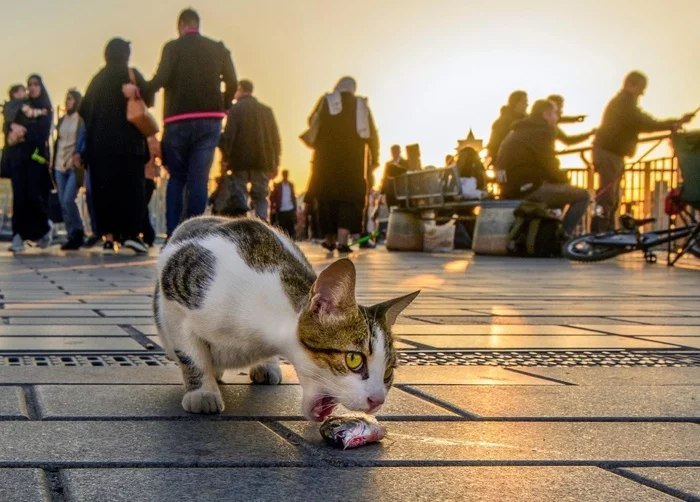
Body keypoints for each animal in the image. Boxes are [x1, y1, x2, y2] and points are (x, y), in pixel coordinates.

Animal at [153, 216, 418, 420]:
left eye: (388, 373)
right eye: (354, 359)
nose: (378, 401)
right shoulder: (174, 291)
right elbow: (191, 354)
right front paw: (202, 392)